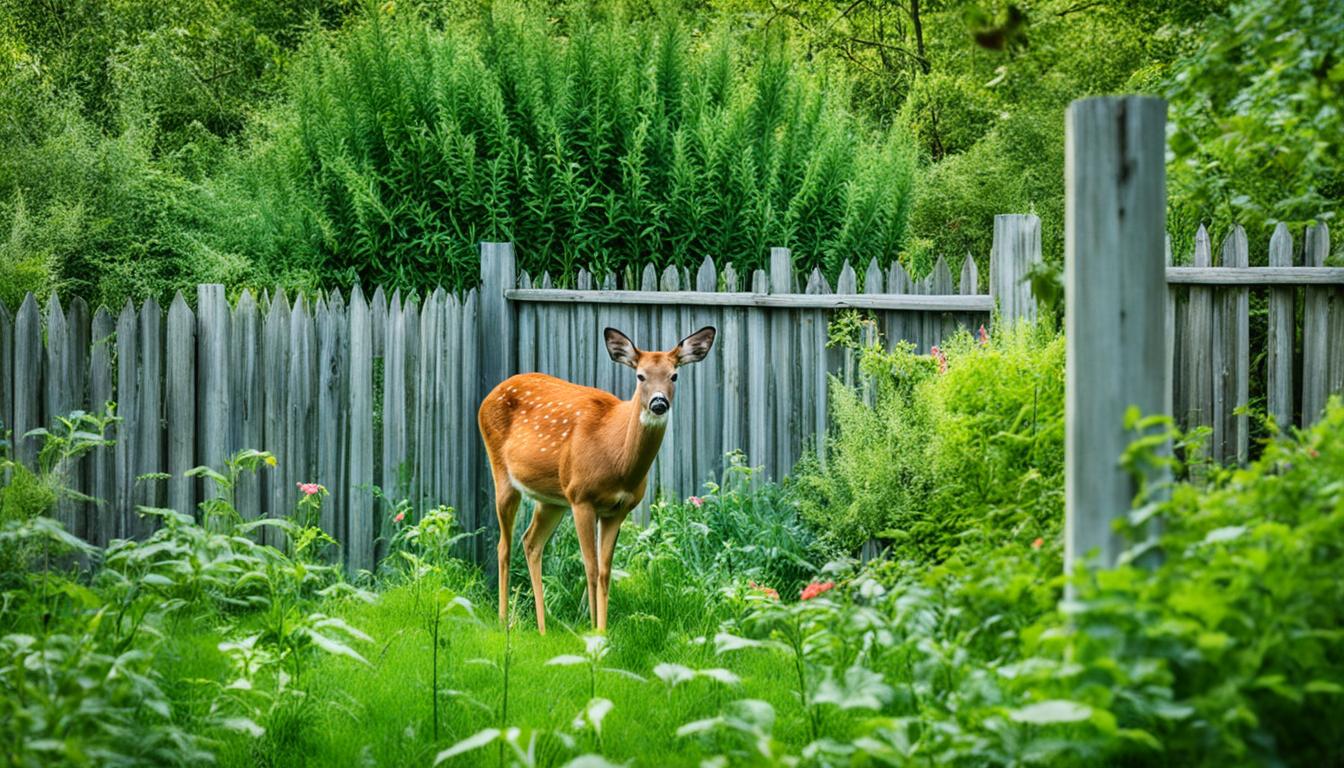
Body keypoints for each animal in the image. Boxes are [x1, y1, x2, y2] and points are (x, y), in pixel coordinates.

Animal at [481, 328, 720, 634]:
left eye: (674, 375)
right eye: (640, 375)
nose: (658, 403)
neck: (617, 460)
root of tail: (491, 393)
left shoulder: (617, 509)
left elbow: (605, 571)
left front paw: (602, 631)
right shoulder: (581, 497)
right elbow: (591, 568)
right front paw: (592, 629)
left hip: (552, 500)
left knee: (531, 543)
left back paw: (542, 628)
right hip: (503, 474)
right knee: (503, 546)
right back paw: (503, 622)